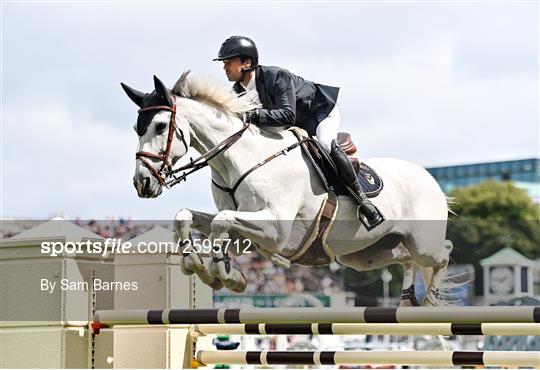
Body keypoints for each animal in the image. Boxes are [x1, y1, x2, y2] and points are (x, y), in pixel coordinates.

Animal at [123, 72, 456, 306]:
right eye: (137, 127)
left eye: (161, 126)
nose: (143, 183)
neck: (243, 156)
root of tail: (431, 180)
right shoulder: (245, 227)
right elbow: (188, 217)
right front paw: (204, 266)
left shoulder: (276, 230)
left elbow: (221, 222)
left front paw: (224, 272)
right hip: (364, 255)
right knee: (405, 258)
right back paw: (408, 300)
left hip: (422, 244)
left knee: (443, 252)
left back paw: (429, 301)